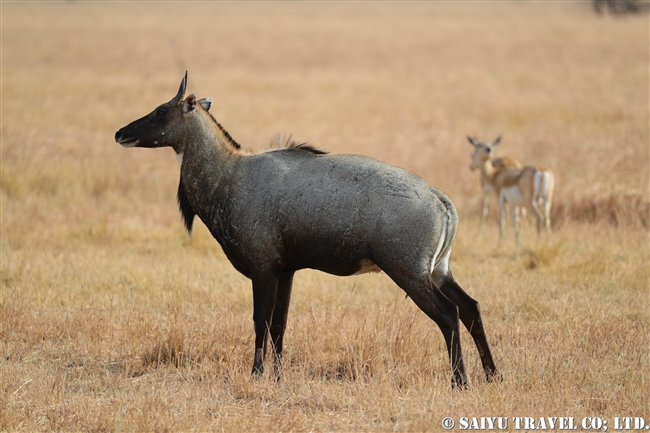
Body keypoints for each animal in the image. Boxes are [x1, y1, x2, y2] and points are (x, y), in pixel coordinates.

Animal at [114, 71, 498, 388]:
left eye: (161, 111)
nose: (120, 133)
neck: (231, 175)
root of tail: (440, 199)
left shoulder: (263, 267)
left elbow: (260, 320)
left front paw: (256, 375)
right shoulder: (286, 271)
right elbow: (280, 326)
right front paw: (278, 379)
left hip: (409, 271)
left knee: (449, 314)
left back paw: (460, 382)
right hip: (438, 270)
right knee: (471, 308)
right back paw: (494, 375)